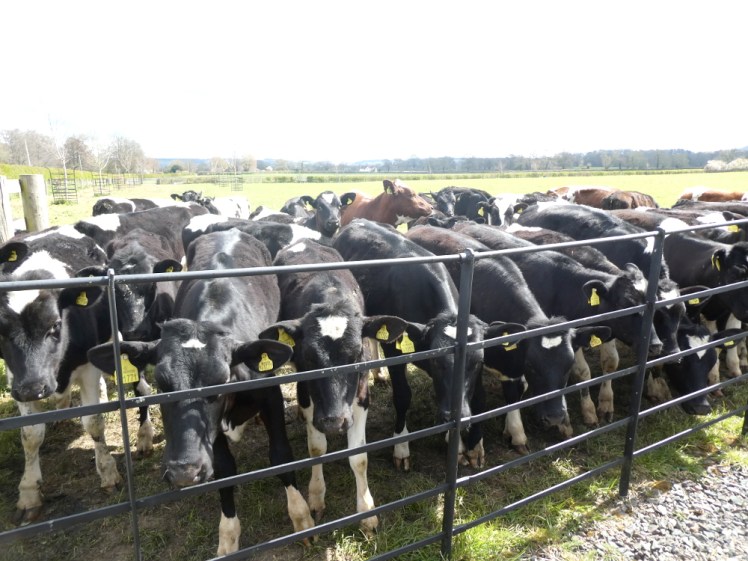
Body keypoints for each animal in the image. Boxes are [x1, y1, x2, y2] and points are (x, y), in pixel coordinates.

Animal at [0, 226, 121, 525]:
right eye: (0, 330)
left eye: (55, 325)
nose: (33, 389)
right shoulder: (15, 378)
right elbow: (31, 434)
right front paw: (29, 491)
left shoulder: (88, 367)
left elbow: (94, 423)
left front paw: (108, 471)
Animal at [87, 229, 315, 555]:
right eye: (162, 384)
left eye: (219, 384)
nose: (183, 472)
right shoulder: (210, 435)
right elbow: (224, 470)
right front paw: (228, 537)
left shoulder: (270, 395)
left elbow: (282, 456)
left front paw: (302, 518)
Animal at [258, 240, 407, 534]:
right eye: (308, 358)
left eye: (357, 354)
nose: (334, 422)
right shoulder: (306, 392)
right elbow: (316, 448)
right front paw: (316, 497)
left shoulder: (361, 396)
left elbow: (359, 457)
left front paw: (366, 511)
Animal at [333, 219, 490, 469]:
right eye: (437, 361)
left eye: (478, 362)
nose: (455, 415)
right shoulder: (393, 349)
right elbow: (403, 395)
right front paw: (401, 447)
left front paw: (464, 447)